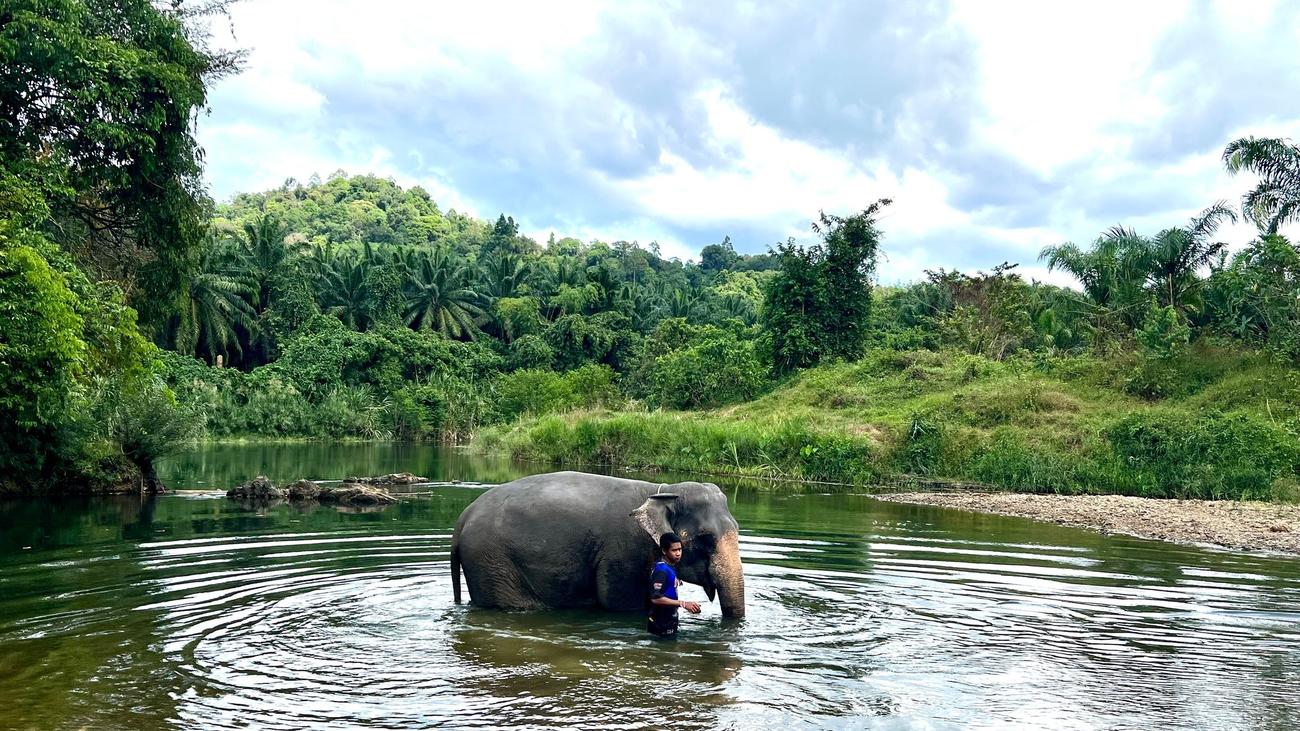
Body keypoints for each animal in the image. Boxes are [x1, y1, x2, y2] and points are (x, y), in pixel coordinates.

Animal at [452, 468, 748, 616]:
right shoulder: (623, 552)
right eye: (705, 538)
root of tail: (462, 519)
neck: (662, 492)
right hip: (491, 562)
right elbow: (620, 602)